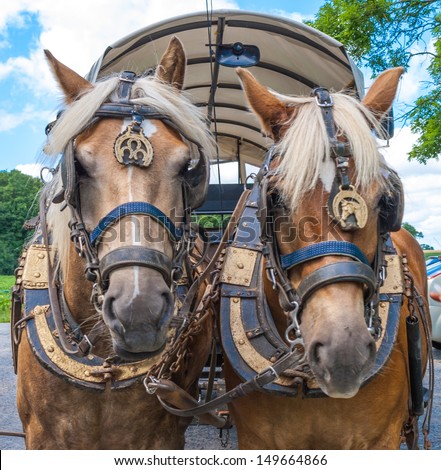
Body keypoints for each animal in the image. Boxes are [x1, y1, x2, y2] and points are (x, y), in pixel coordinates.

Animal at [10, 36, 215, 448]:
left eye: (187, 166)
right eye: (79, 166)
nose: (139, 311)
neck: (105, 362)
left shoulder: (165, 435)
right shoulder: (40, 435)